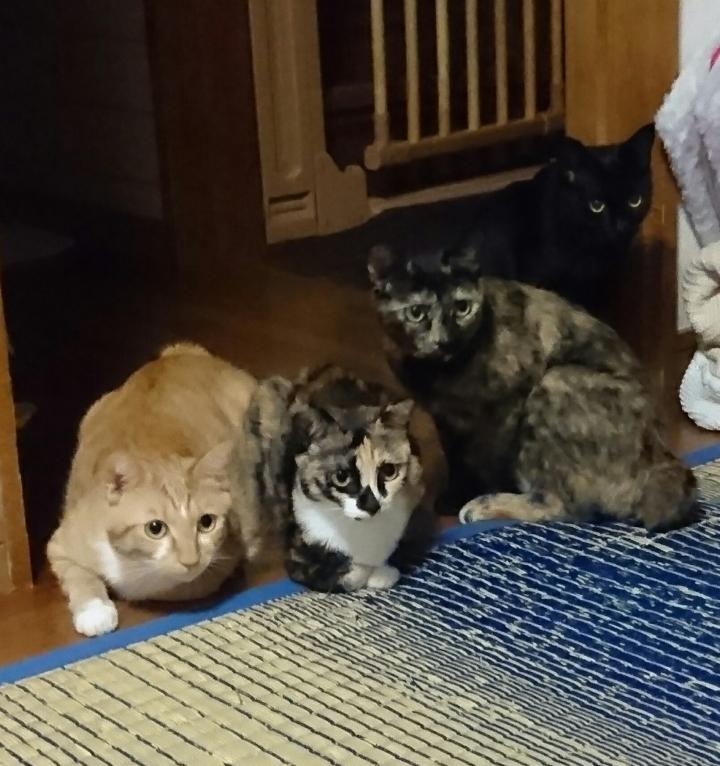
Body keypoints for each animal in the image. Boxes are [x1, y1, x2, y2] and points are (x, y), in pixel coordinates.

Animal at [47, 343, 258, 636]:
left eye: (206, 523)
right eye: (155, 528)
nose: (191, 560)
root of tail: (180, 353)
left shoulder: (218, 563)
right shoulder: (61, 544)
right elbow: (78, 575)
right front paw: (95, 611)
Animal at [231, 365, 425, 593]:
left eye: (388, 471)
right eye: (341, 476)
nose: (371, 504)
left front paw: (382, 571)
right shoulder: (298, 555)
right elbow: (350, 575)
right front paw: (373, 573)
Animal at [368, 245, 697, 532]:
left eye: (462, 308)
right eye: (416, 312)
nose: (444, 340)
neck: (443, 373)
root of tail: (662, 460)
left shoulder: (506, 407)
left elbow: (491, 461)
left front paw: (479, 493)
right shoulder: (445, 419)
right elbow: (455, 458)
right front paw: (453, 495)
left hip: (554, 380)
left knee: (563, 505)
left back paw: (486, 505)